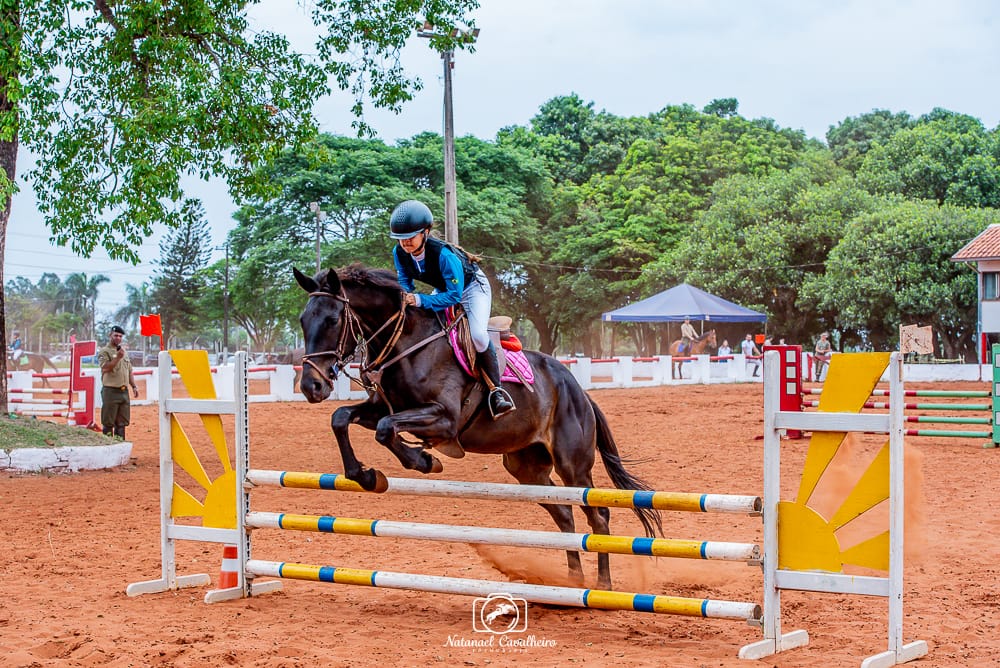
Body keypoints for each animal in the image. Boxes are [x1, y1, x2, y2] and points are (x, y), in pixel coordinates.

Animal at [292, 266, 660, 588]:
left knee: (597, 516)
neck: (409, 343)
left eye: (333, 319)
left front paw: (424, 461)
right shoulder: (383, 406)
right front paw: (365, 475)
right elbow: (342, 418)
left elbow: (386, 429)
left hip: (573, 465)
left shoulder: (443, 419)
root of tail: (579, 391)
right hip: (527, 469)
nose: (311, 386)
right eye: (303, 320)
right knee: (564, 515)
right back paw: (571, 582)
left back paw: (602, 584)